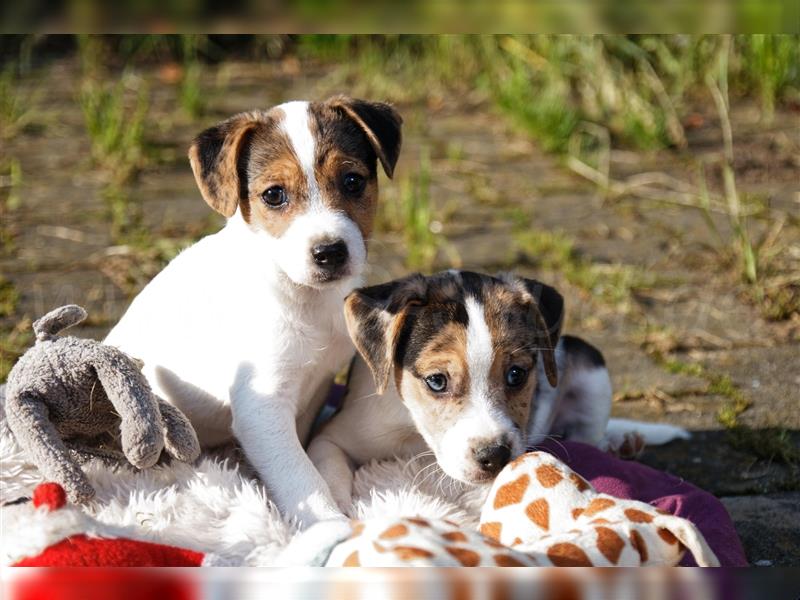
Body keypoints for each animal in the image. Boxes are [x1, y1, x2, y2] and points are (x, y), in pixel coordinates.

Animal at [106, 96, 404, 528]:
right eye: (274, 195)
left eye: (352, 181)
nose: (330, 252)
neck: (301, 296)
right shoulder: (262, 406)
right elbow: (299, 475)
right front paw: (329, 525)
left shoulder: (311, 391)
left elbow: (306, 454)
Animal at [310, 272, 684, 510]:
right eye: (437, 381)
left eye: (516, 374)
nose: (495, 456)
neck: (418, 438)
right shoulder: (332, 438)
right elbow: (330, 475)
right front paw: (341, 518)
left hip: (591, 365)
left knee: (589, 437)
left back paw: (621, 442)